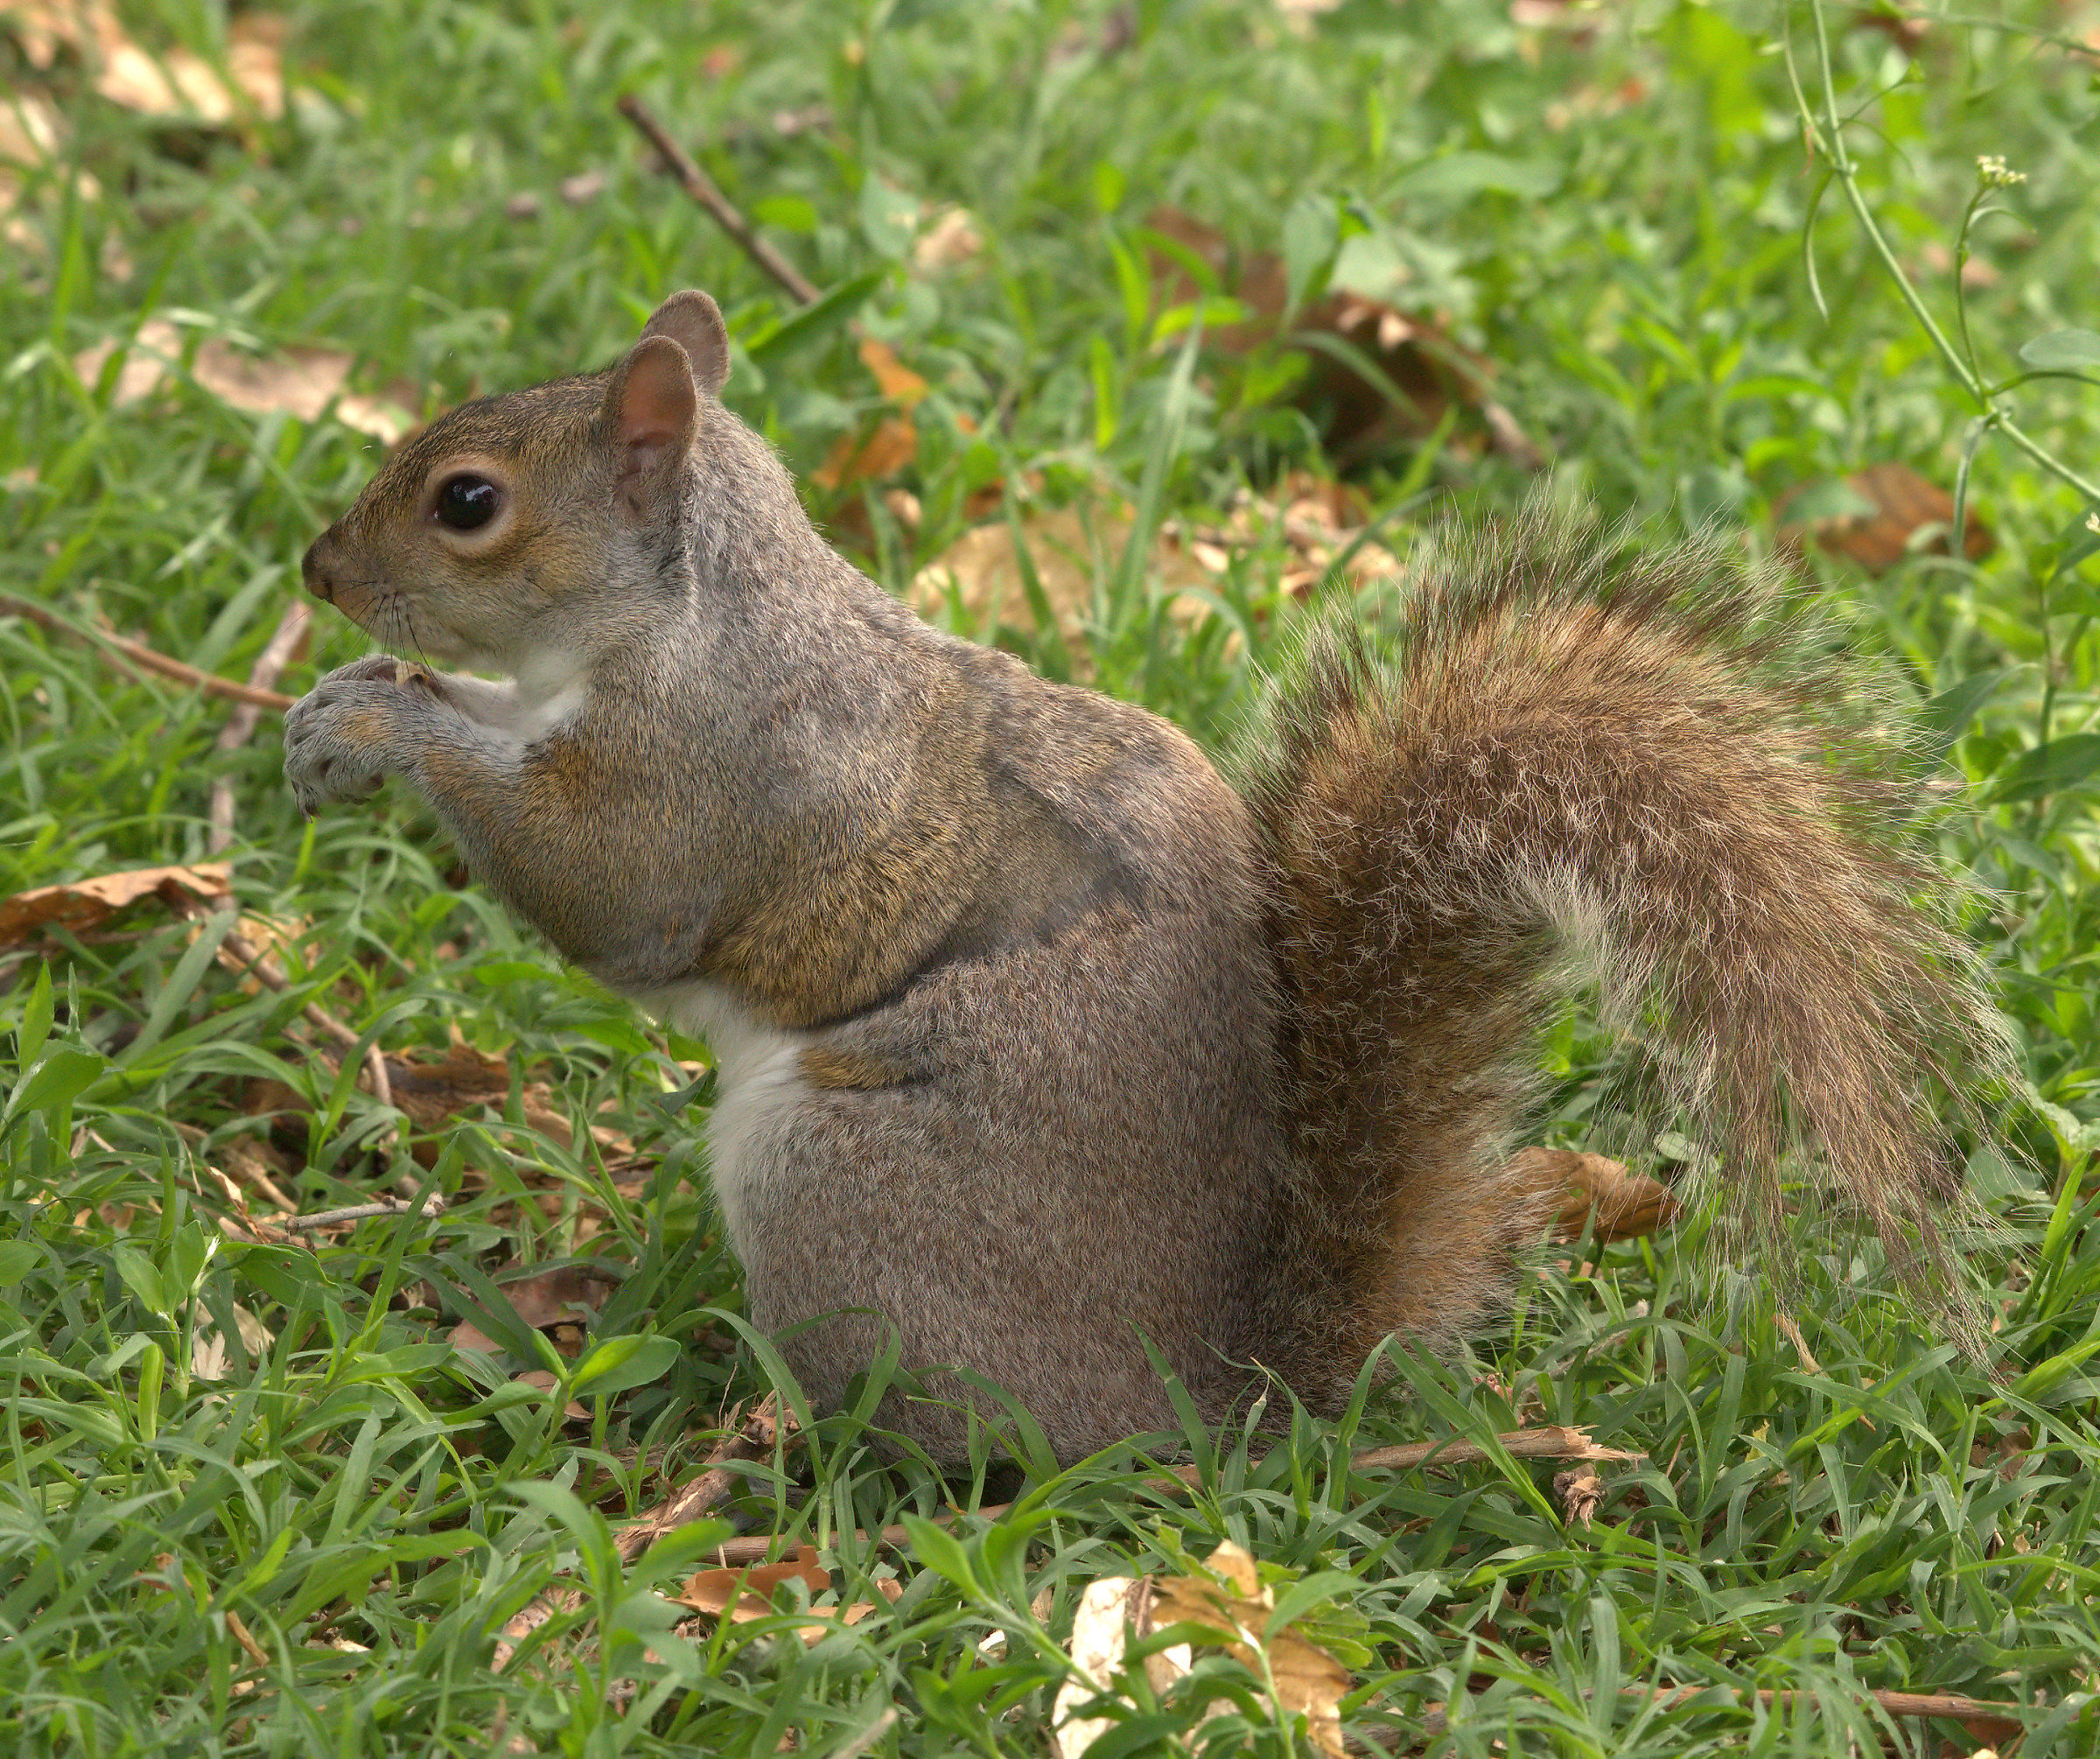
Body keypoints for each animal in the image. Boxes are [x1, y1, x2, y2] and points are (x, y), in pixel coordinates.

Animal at [285, 290, 2001, 1463]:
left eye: (468, 502)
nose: (316, 570)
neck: (689, 611)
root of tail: (1215, 1402)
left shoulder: (705, 779)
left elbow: (600, 889)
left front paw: (384, 724)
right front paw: (347, 699)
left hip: (847, 1189)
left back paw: (768, 1436)